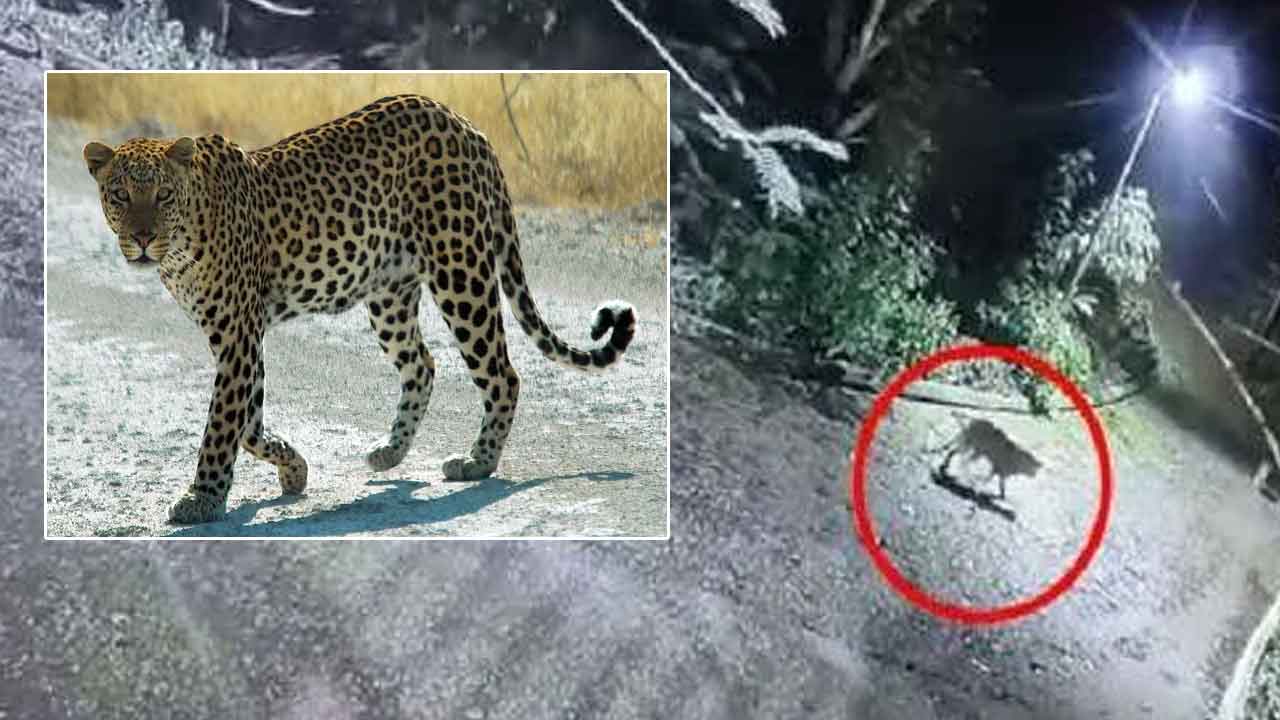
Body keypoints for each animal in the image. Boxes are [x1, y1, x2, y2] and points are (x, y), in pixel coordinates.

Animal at [83, 94, 637, 525]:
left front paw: (202, 499)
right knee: (422, 364)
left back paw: (477, 462)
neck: (180, 246)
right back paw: (391, 453)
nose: (141, 238)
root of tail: (467, 126)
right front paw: (294, 469)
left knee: (502, 373)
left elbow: (222, 426)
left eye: (162, 195)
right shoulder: (240, 336)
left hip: (461, 273)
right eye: (120, 194)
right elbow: (248, 424)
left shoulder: (237, 334)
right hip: (389, 294)